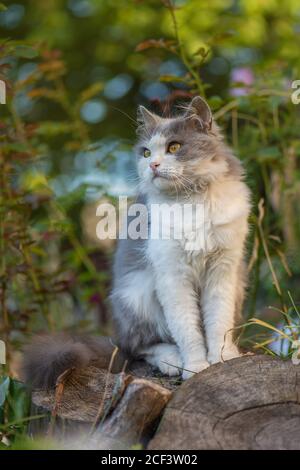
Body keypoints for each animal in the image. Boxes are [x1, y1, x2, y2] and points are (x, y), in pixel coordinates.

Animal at [110, 94, 251, 378]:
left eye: (174, 147)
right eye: (146, 152)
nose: (152, 165)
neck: (190, 198)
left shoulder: (222, 270)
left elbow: (218, 322)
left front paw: (221, 358)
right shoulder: (173, 277)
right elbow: (188, 330)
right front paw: (195, 367)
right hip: (137, 295)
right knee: (140, 346)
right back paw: (172, 360)